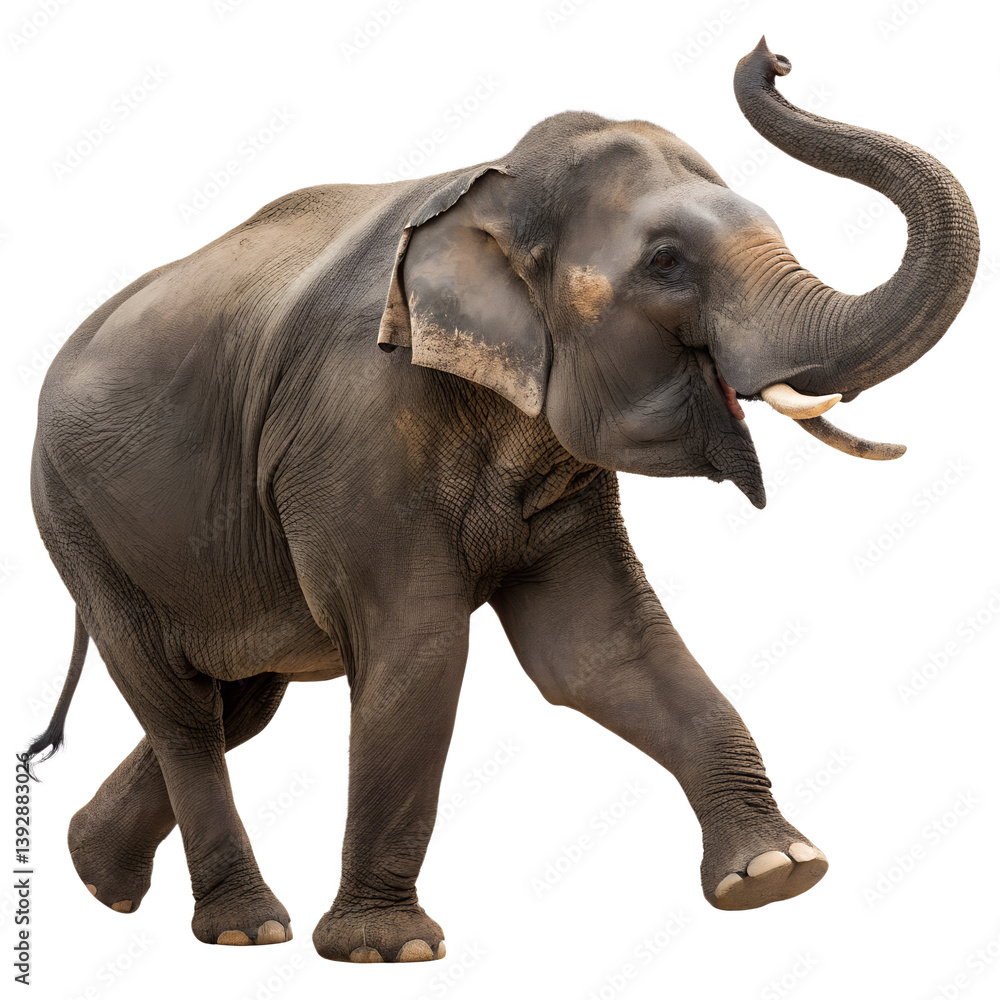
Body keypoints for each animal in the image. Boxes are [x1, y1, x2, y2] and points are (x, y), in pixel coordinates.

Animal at [26, 37, 978, 964]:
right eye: (667, 262)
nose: (773, 58)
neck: (493, 188)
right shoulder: (353, 425)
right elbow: (419, 646)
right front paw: (387, 951)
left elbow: (597, 647)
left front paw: (777, 874)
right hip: (76, 519)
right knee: (182, 705)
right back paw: (243, 929)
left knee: (240, 700)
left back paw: (97, 874)